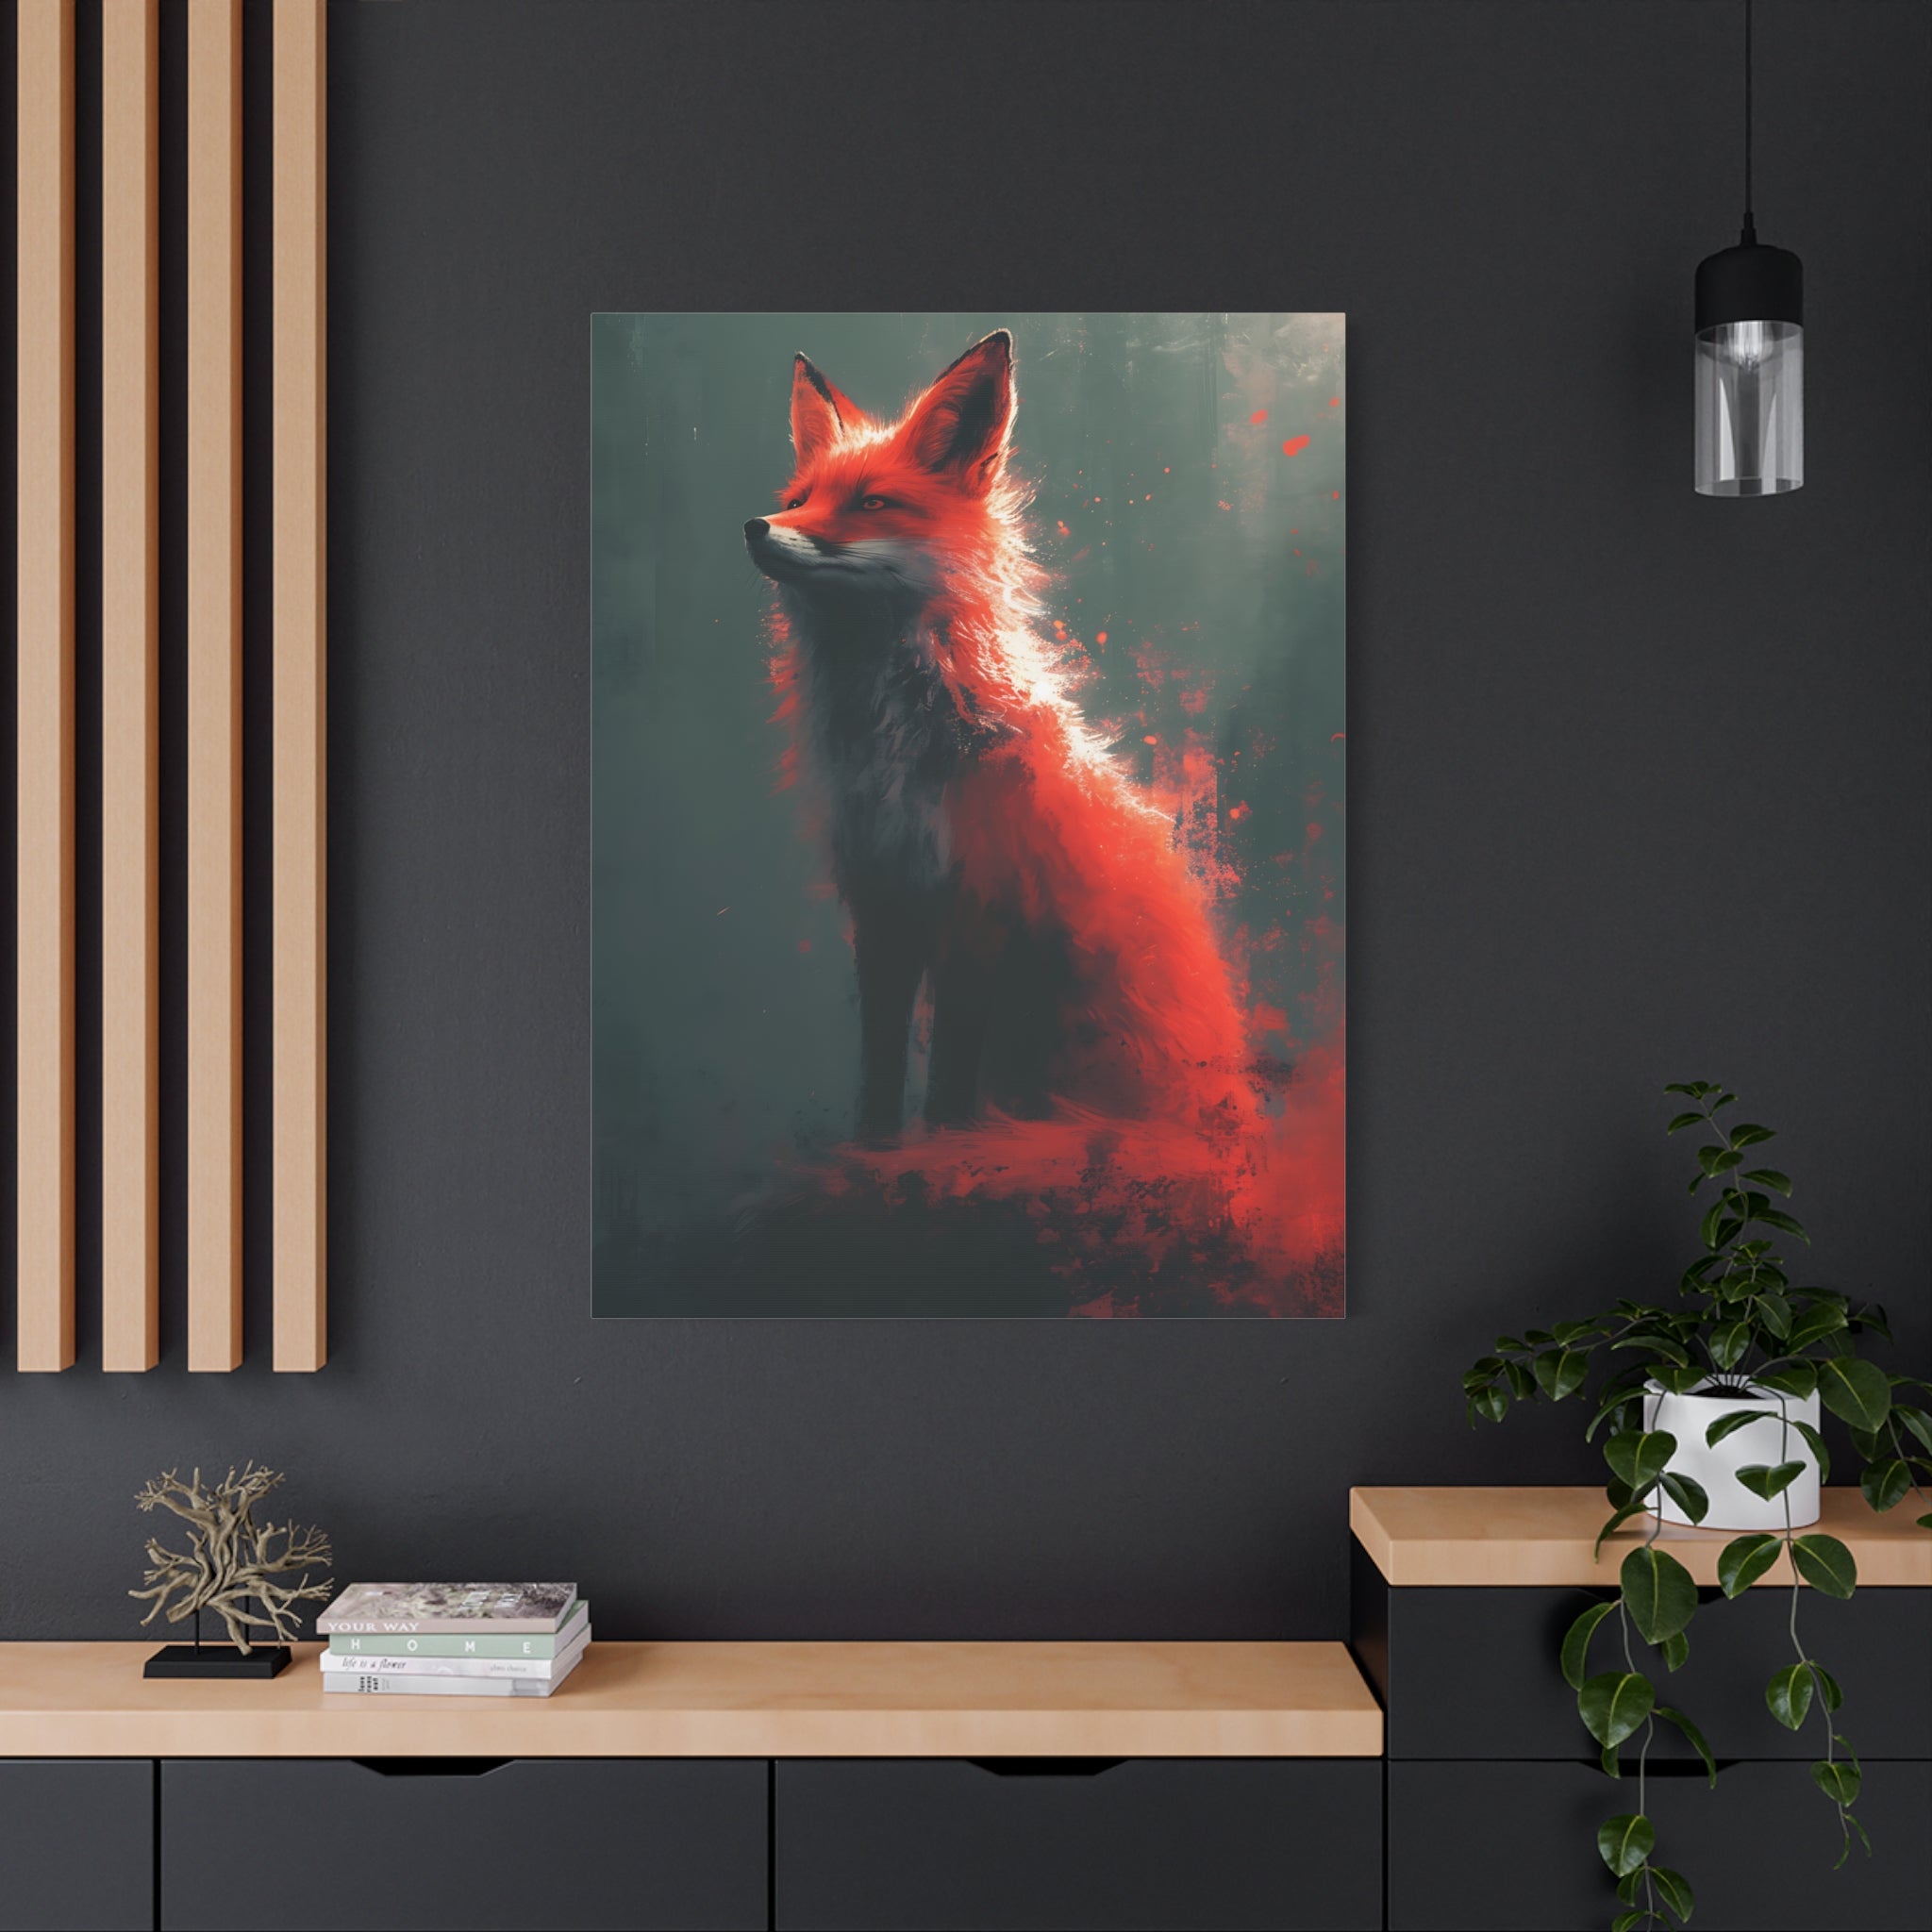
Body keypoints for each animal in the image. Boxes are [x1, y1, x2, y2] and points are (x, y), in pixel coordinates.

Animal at [745, 329, 1251, 1149]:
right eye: (798, 502)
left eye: (871, 503)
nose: (757, 527)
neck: (898, 745)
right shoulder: (881, 900)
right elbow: (880, 1059)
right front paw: (875, 1145)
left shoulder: (979, 904)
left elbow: (950, 1067)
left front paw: (945, 1142)